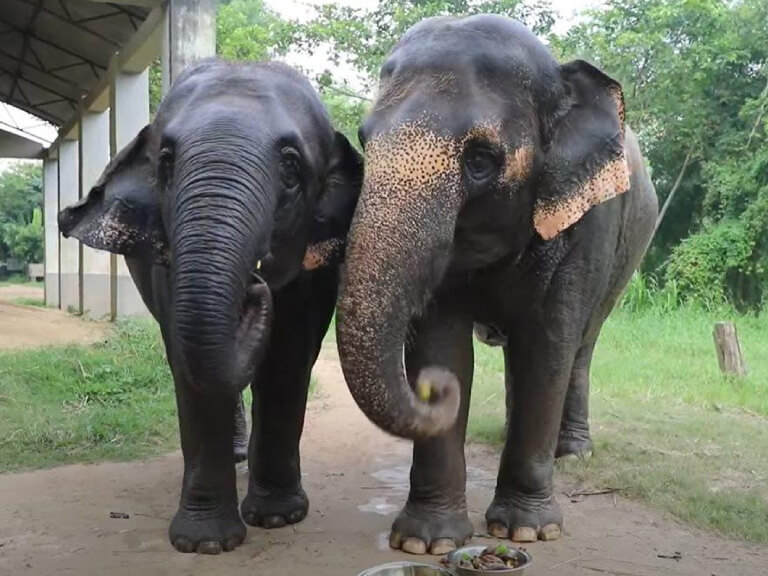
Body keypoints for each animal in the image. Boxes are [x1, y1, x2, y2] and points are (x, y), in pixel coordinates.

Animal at [58, 60, 362, 554]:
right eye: (166, 162)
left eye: (291, 167)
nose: (254, 285)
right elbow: (187, 362)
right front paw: (204, 544)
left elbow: (288, 359)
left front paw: (278, 518)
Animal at [336, 15, 658, 555]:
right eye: (364, 139)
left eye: (482, 159)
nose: (430, 391)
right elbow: (443, 346)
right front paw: (427, 542)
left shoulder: (587, 226)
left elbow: (548, 349)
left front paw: (528, 530)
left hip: (626, 255)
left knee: (580, 349)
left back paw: (573, 453)